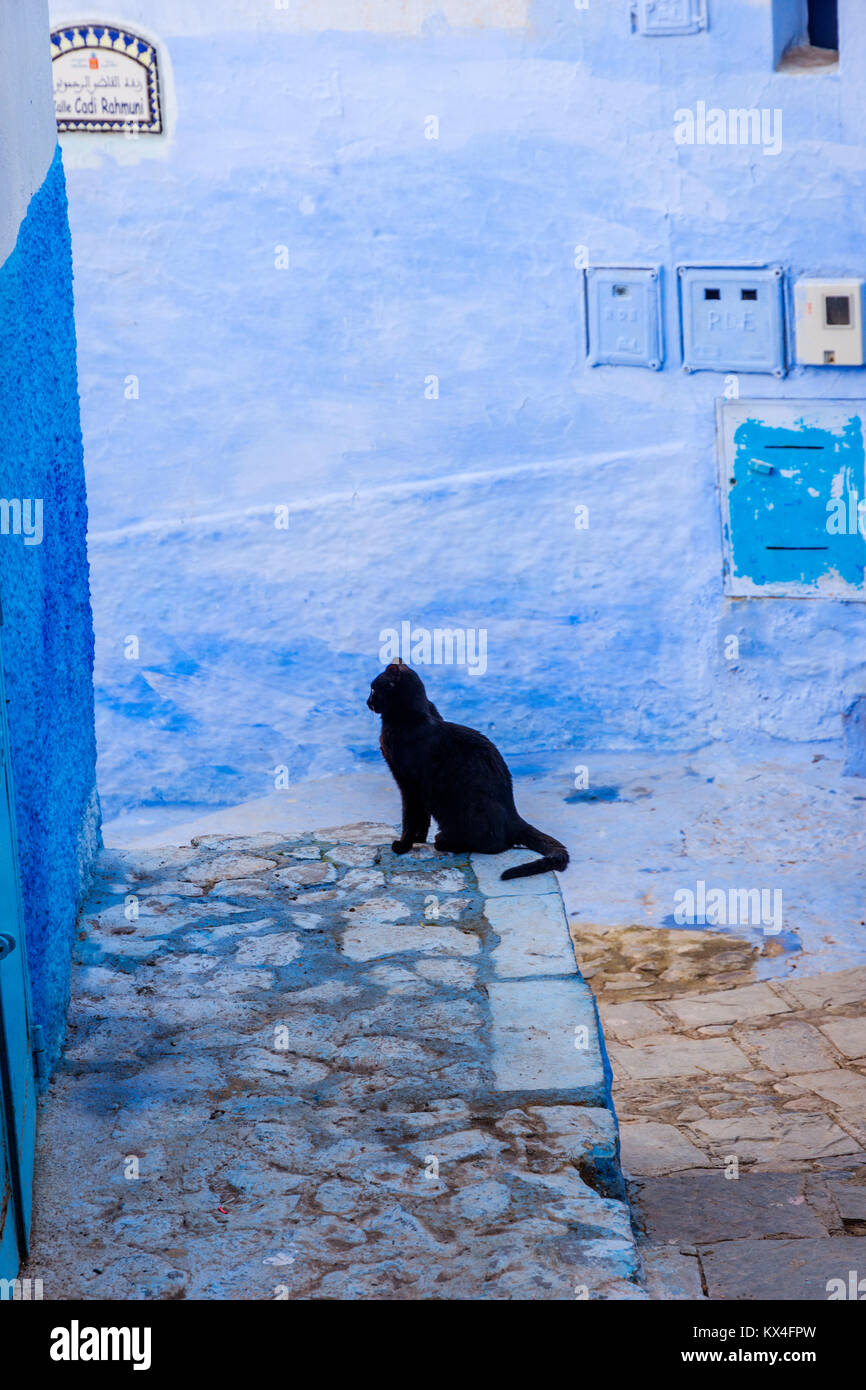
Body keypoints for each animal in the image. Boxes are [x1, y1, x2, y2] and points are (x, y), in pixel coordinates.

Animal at [366, 661, 569, 878]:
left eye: (373, 689)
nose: (367, 701)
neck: (411, 716)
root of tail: (513, 817)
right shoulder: (418, 791)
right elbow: (423, 818)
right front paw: (419, 839)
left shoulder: (409, 784)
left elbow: (409, 818)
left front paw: (403, 845)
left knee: (497, 845)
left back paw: (445, 842)